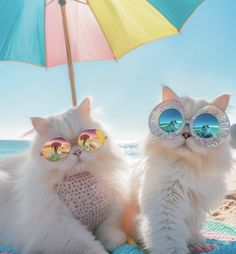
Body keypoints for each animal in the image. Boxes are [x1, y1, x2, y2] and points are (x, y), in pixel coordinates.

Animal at [0, 98, 128, 253]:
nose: (77, 151)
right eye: (58, 146)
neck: (80, 177)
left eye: (84, 138)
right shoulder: (59, 227)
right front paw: (102, 250)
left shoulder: (111, 209)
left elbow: (109, 228)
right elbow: (89, 244)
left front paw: (113, 242)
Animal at [132, 87, 233, 254]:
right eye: (176, 121)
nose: (186, 134)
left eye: (204, 124)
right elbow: (171, 241)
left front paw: (197, 245)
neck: (186, 168)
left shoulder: (195, 211)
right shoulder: (165, 207)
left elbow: (190, 233)